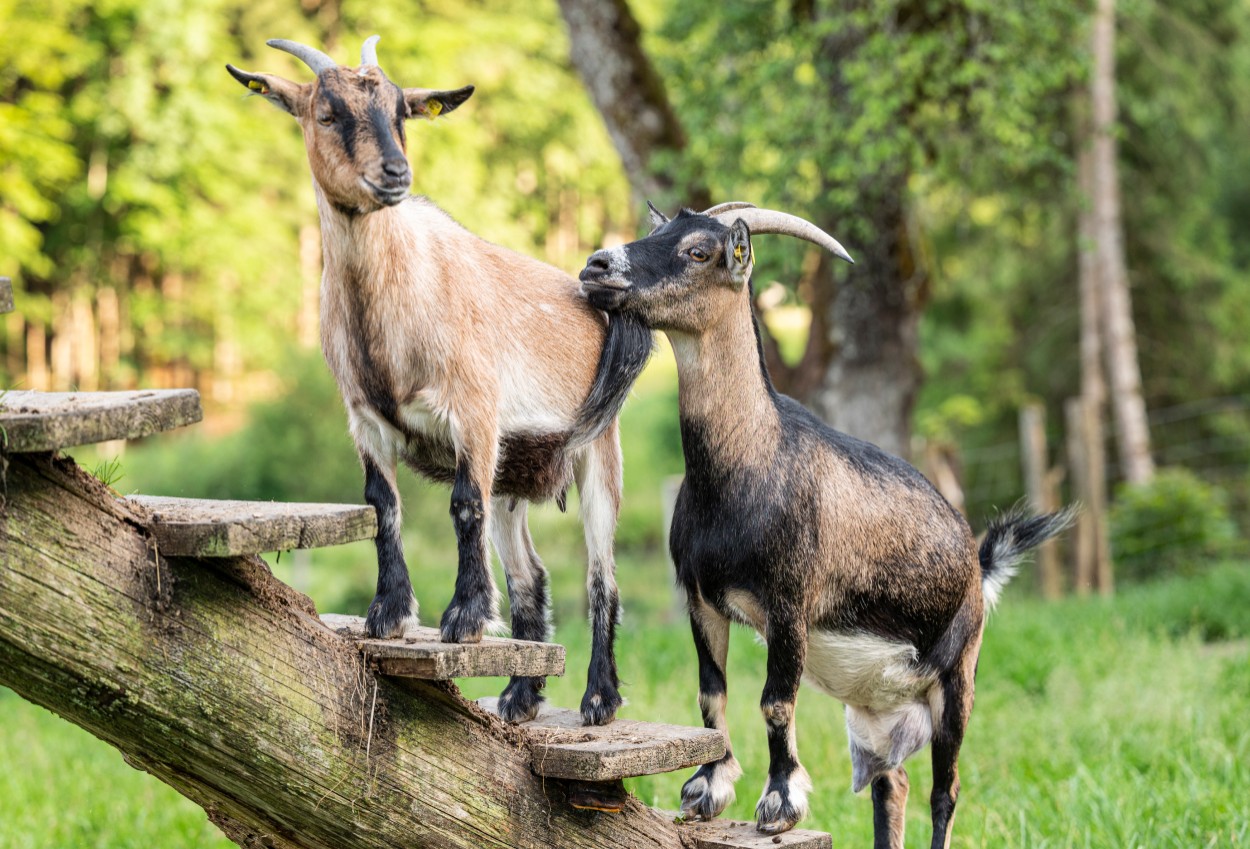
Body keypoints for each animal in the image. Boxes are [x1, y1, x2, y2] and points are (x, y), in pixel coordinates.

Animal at [226, 36, 654, 725]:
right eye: (327, 113)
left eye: (402, 112)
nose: (395, 174)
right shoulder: (365, 420)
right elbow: (382, 504)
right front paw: (389, 614)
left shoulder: (473, 413)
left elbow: (461, 506)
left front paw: (464, 620)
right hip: (517, 471)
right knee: (531, 573)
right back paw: (518, 696)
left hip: (598, 452)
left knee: (601, 574)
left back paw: (597, 699)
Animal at [579, 204, 1073, 845]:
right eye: (656, 232)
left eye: (698, 251)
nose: (596, 266)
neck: (749, 465)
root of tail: (978, 565)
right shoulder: (701, 598)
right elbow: (711, 691)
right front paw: (708, 787)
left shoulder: (790, 602)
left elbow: (775, 701)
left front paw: (780, 800)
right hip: (875, 706)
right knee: (892, 783)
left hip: (958, 675)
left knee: (946, 790)